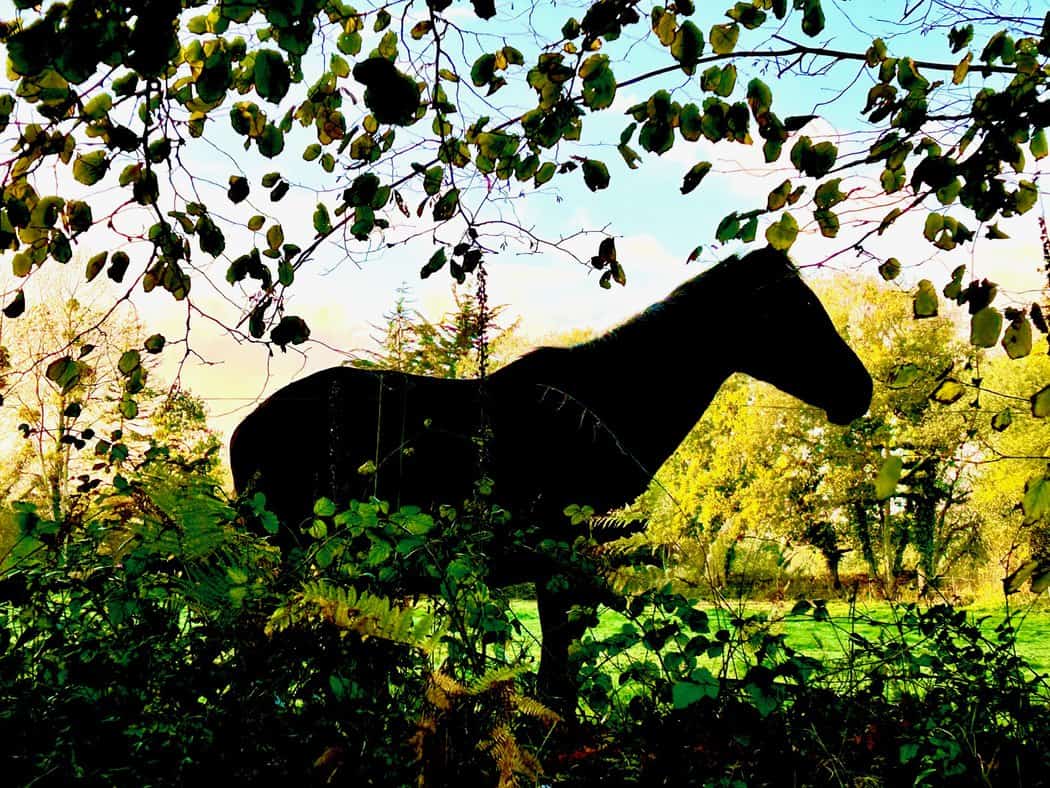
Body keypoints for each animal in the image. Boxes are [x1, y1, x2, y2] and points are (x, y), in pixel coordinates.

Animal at [230, 246, 873, 716]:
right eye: (788, 310)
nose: (859, 389)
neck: (607, 406)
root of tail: (243, 433)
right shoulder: (560, 553)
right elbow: (557, 675)